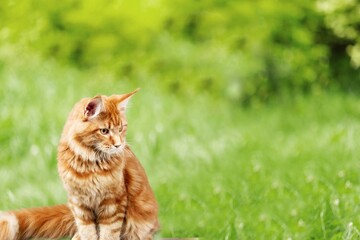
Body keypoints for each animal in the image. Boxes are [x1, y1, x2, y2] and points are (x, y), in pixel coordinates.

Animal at [0, 89, 159, 239]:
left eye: (121, 129)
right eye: (104, 131)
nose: (118, 145)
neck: (89, 164)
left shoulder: (113, 202)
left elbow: (108, 233)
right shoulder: (79, 203)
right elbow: (88, 232)